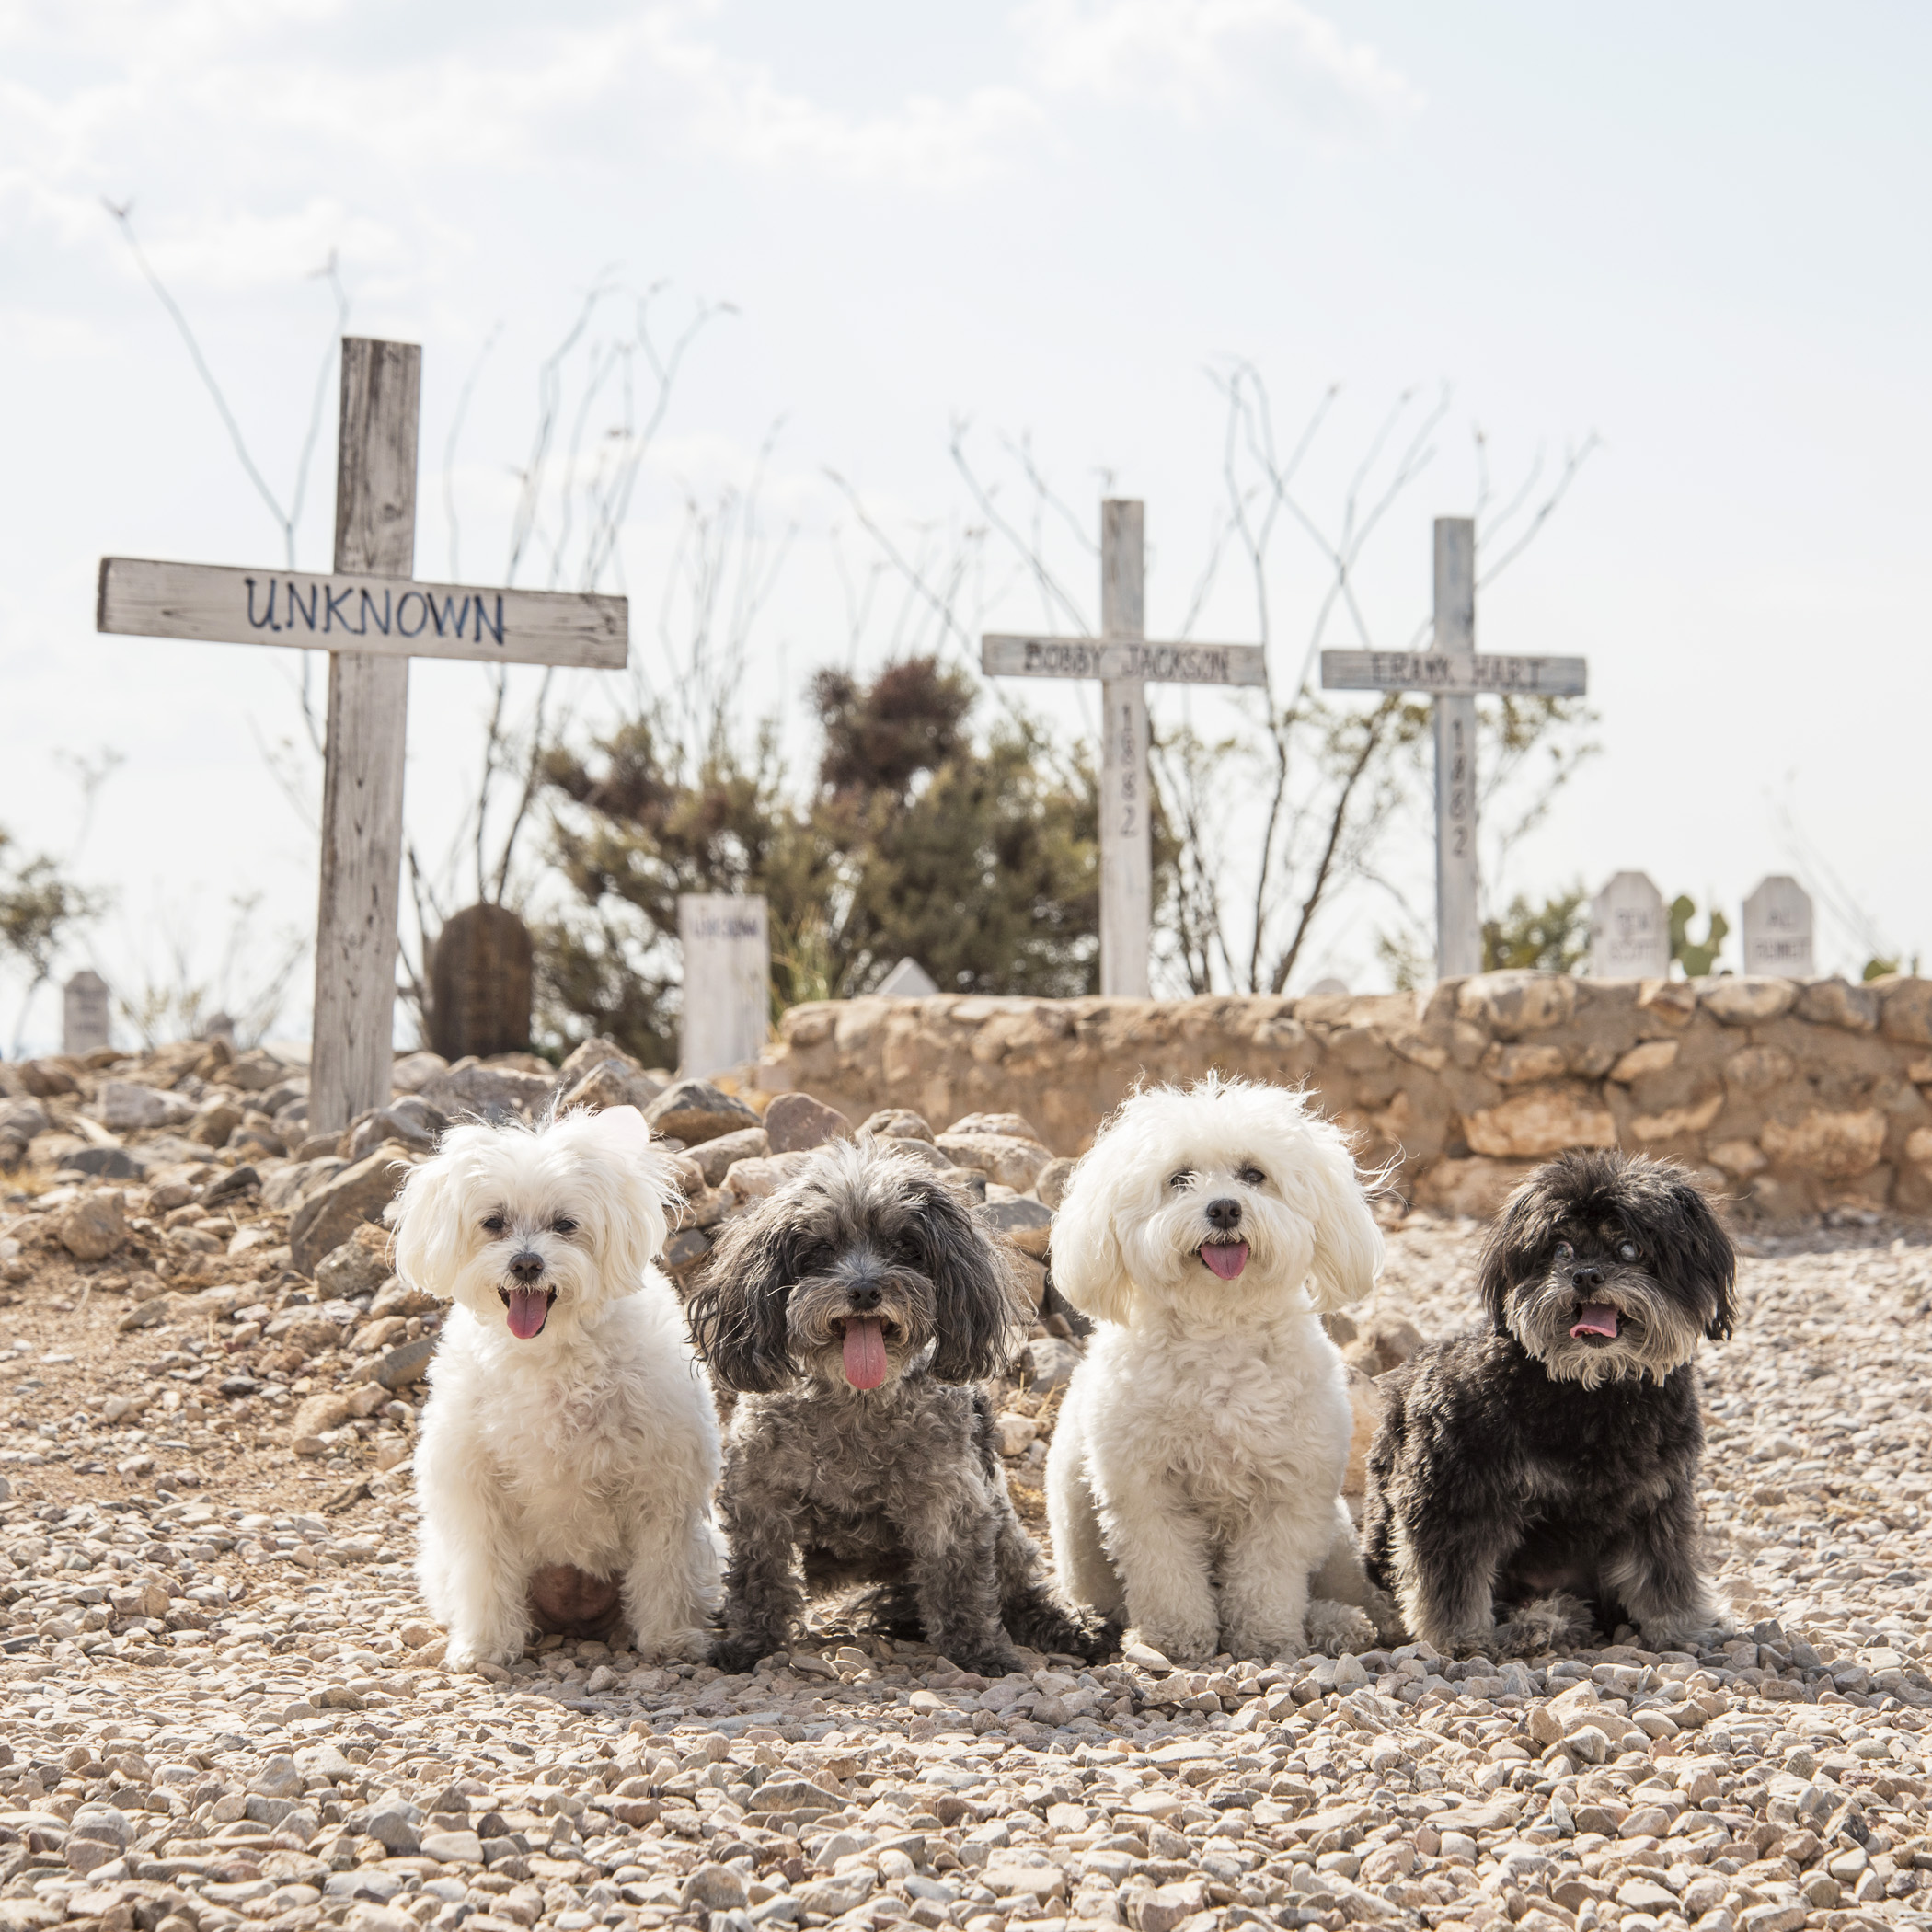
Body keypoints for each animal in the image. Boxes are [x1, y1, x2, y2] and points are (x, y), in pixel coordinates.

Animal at [397, 1112, 726, 1669]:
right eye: (494, 1222)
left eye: (566, 1225)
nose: (526, 1264)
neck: (549, 1353)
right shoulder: (476, 1487)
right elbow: (485, 1570)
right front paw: (485, 1646)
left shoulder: (664, 1484)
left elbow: (665, 1567)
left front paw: (672, 1639)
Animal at [687, 1128, 1112, 1676]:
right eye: (820, 1248)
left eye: (905, 1246)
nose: (865, 1289)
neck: (857, 1401)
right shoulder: (761, 1497)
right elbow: (760, 1576)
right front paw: (750, 1643)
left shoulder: (952, 1501)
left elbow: (960, 1580)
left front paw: (977, 1651)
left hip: (1005, 1524)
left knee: (1019, 1583)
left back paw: (1069, 1626)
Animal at [1051, 1074, 1398, 1661]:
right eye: (1179, 1179)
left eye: (1254, 1175)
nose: (1225, 1209)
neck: (1220, 1329)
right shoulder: (1147, 1490)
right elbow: (1165, 1570)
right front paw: (1175, 1639)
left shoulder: (1288, 1491)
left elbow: (1268, 1577)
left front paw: (1267, 1640)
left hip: (1337, 1535)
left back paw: (1338, 1622)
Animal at [1360, 1144, 1738, 1661]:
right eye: (1560, 1250)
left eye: (1630, 1249)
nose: (1586, 1275)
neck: (1589, 1392)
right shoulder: (1451, 1493)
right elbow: (1450, 1577)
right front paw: (1458, 1637)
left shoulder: (1657, 1498)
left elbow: (1664, 1570)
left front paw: (1682, 1627)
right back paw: (1537, 1623)